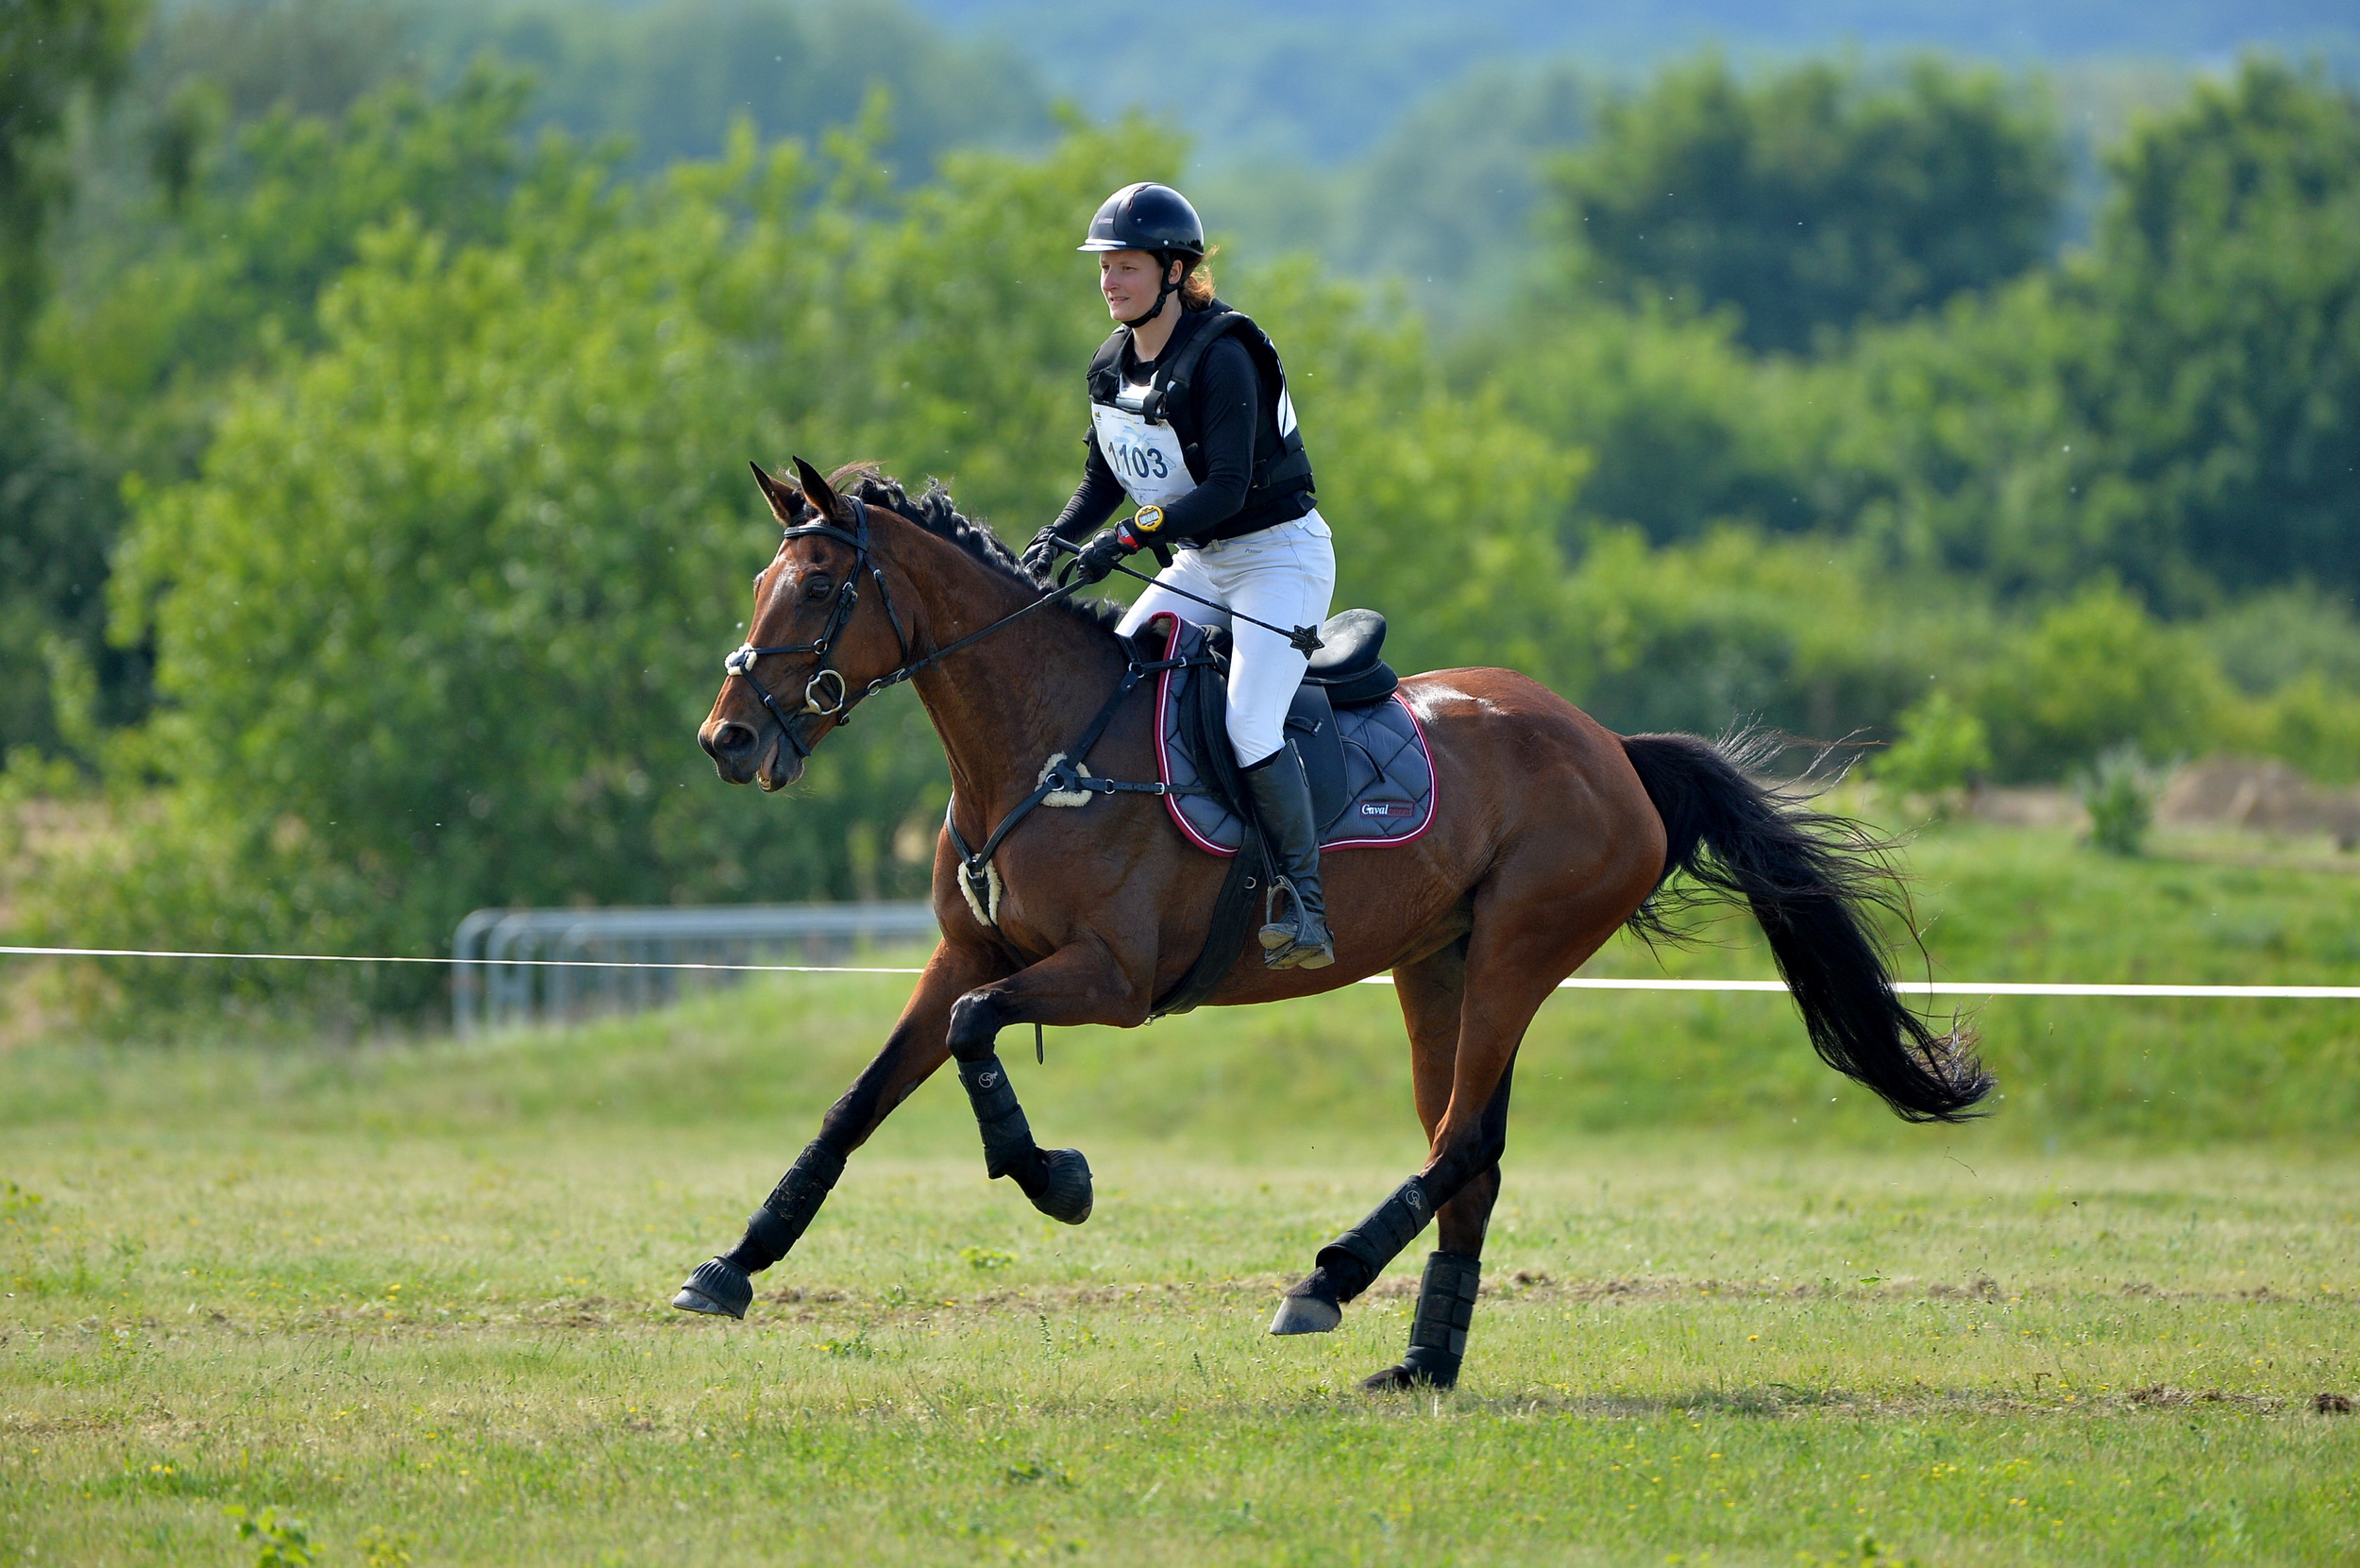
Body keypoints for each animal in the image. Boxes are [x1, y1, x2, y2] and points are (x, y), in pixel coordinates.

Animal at [684, 460, 1992, 1388]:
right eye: (757, 586)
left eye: (816, 589)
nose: (727, 741)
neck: (1040, 743)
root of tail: (1611, 745)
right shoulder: (970, 950)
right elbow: (860, 1098)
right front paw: (734, 1263)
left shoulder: (1110, 978)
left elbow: (972, 1031)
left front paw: (1053, 1177)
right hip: (1438, 965)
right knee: (1470, 1151)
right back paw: (1421, 1361)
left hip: (1520, 946)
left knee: (1459, 1141)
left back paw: (1328, 1278)